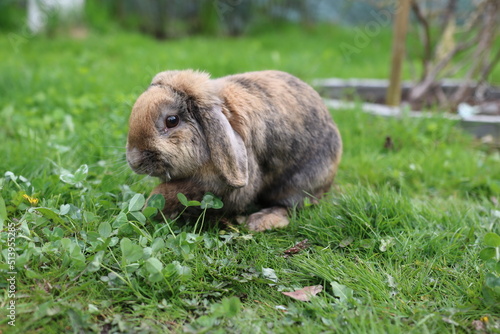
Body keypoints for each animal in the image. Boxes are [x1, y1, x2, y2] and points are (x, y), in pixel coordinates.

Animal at [127, 71, 342, 231]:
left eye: (171, 121)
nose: (134, 161)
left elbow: (167, 192)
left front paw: (148, 207)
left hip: (299, 182)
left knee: (290, 206)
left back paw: (259, 221)